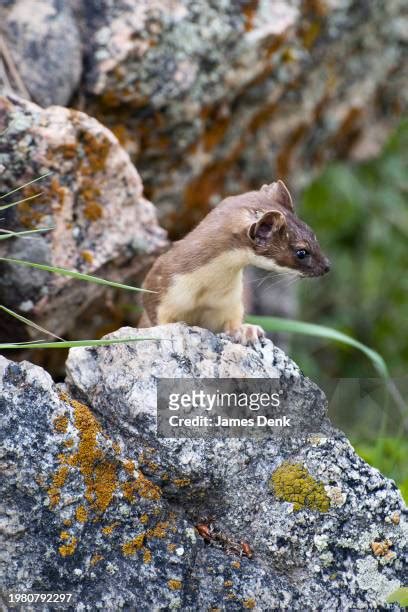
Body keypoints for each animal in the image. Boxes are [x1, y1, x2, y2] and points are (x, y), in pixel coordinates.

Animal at [140, 182, 328, 344]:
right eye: (301, 252)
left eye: (313, 235)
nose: (327, 266)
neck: (204, 290)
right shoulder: (160, 289)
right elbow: (159, 318)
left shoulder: (231, 302)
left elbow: (232, 321)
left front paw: (247, 330)